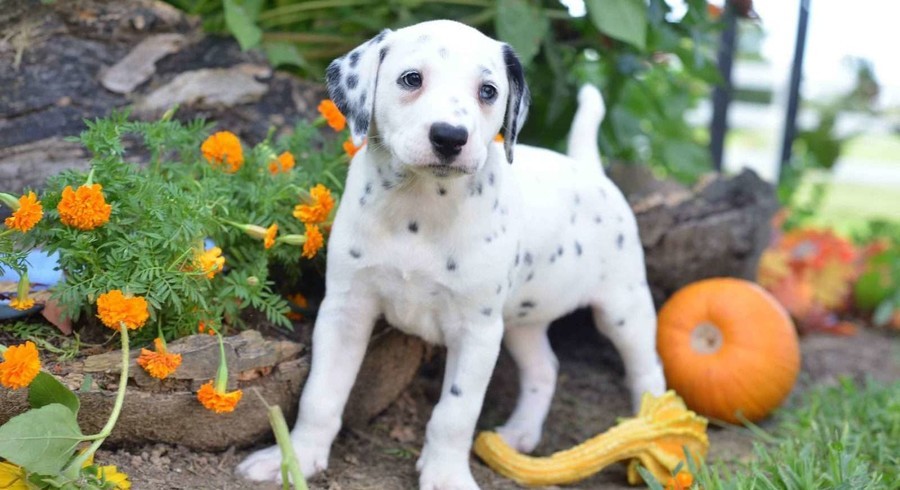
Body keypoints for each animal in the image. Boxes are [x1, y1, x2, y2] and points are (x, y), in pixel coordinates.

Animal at [236, 19, 664, 490]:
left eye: (488, 91)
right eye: (411, 79)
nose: (449, 136)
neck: (419, 209)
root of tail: (589, 169)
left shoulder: (476, 332)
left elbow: (455, 413)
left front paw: (445, 475)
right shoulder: (345, 311)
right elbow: (321, 394)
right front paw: (295, 458)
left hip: (623, 308)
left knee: (648, 371)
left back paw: (656, 437)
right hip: (521, 321)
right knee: (544, 368)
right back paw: (520, 434)